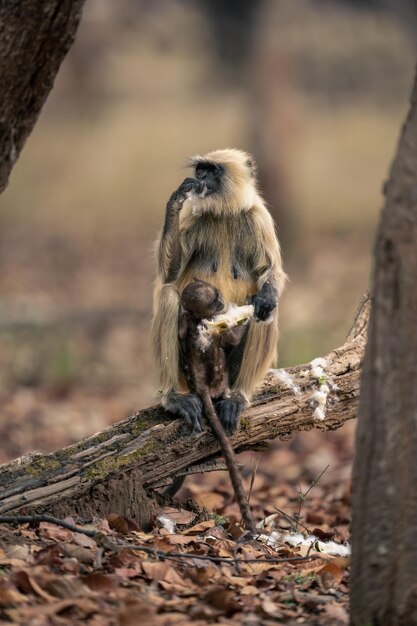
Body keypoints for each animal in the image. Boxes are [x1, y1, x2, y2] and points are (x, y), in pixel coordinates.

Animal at [153, 150, 286, 434]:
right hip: (187, 371)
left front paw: (267, 296)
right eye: (200, 169)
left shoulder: (259, 218)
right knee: (169, 295)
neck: (225, 213)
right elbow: (169, 276)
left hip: (228, 373)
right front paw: (177, 198)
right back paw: (174, 398)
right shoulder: (193, 216)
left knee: (265, 311)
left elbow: (272, 274)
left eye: (213, 170)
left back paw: (238, 397)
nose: (201, 177)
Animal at [180, 280, 256, 532]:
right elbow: (230, 338)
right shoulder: (213, 327)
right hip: (219, 381)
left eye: (218, 295)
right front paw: (249, 310)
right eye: (214, 302)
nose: (223, 301)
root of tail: (203, 385)